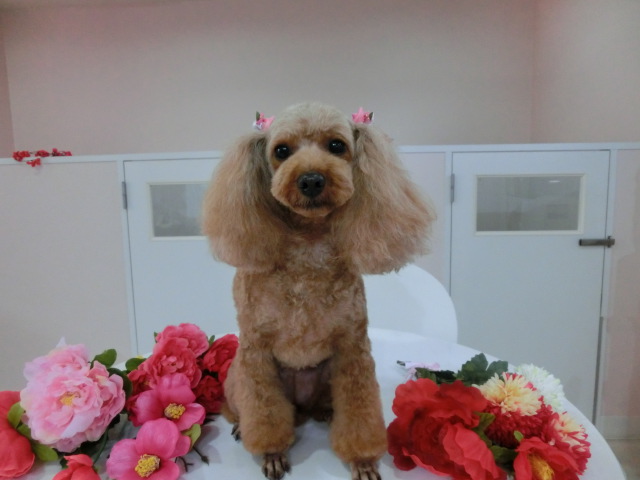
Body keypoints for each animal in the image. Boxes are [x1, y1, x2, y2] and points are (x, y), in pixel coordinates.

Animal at [202, 102, 433, 480]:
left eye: (337, 145)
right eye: (281, 151)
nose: (311, 179)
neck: (308, 249)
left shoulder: (353, 348)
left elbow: (359, 411)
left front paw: (362, 461)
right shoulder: (256, 352)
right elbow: (264, 413)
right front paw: (272, 454)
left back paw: (325, 412)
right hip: (237, 375)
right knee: (235, 407)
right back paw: (239, 425)